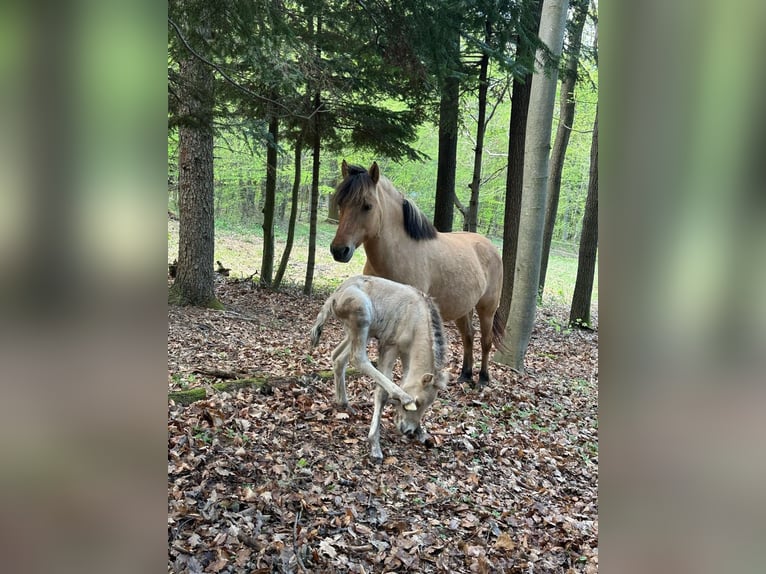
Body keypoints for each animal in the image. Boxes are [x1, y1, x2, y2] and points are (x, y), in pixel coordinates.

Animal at [310, 275, 448, 462]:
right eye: (418, 402)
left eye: (427, 405)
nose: (408, 431)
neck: (415, 319)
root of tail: (336, 293)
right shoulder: (389, 346)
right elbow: (382, 392)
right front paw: (374, 444)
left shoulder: (407, 355)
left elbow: (404, 380)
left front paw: (421, 432)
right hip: (361, 315)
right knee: (357, 358)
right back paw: (400, 397)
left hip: (361, 331)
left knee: (338, 356)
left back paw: (344, 403)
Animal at [330, 160, 504, 387]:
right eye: (340, 203)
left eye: (367, 205)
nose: (339, 250)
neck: (400, 252)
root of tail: (490, 246)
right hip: (463, 308)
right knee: (468, 336)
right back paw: (465, 375)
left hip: (487, 308)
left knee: (485, 340)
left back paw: (483, 378)